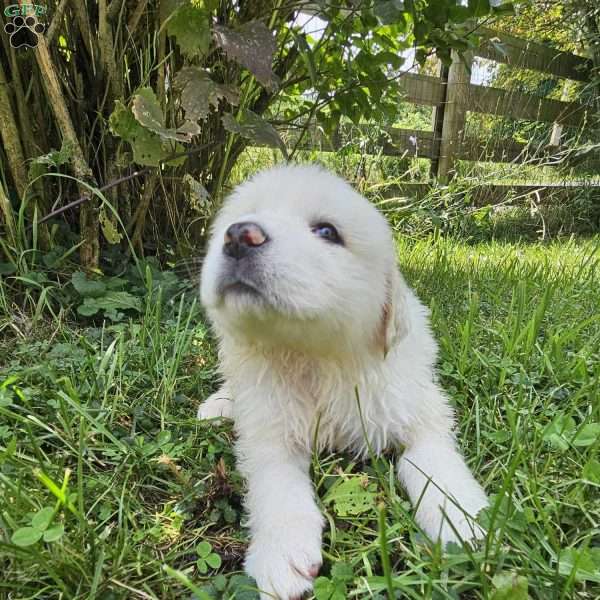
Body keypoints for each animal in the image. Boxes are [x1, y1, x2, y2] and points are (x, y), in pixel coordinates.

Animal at [198, 164, 488, 600]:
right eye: (239, 219)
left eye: (327, 231)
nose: (239, 234)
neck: (315, 358)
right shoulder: (271, 431)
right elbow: (276, 484)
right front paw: (281, 556)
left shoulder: (417, 413)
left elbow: (437, 466)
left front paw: (462, 521)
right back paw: (218, 405)